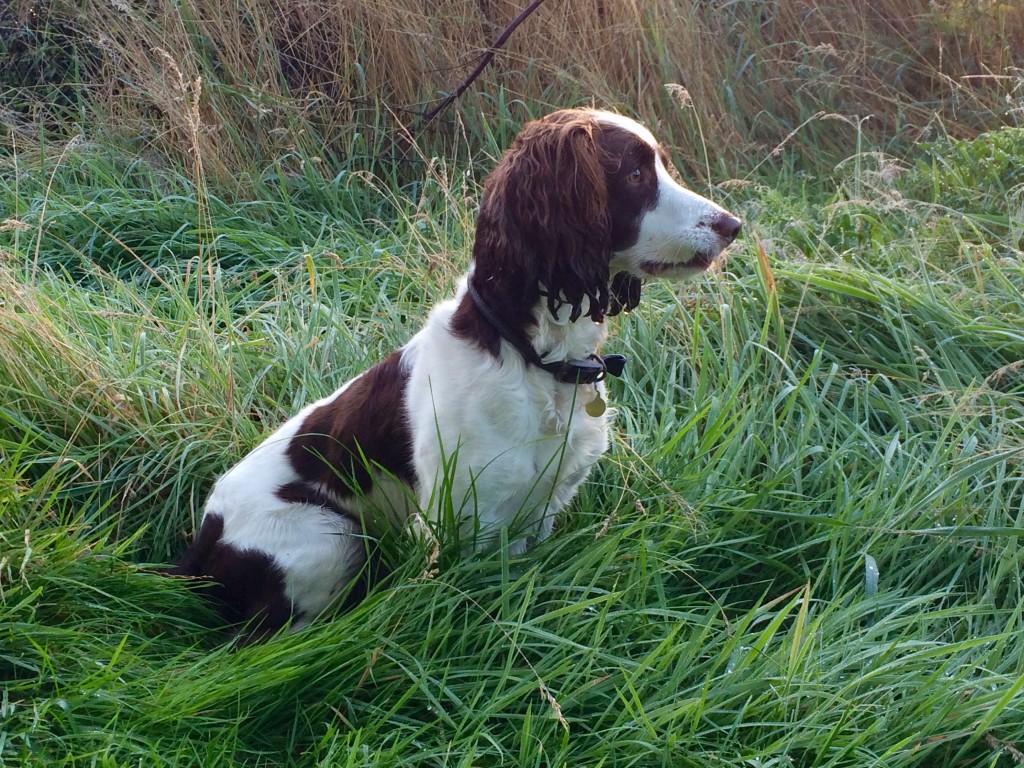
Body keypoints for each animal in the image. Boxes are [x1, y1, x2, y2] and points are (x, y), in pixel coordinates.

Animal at [172, 105, 741, 638]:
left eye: (660, 165)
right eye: (636, 174)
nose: (732, 226)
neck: (535, 359)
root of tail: (200, 544)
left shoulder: (545, 504)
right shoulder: (463, 521)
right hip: (328, 537)